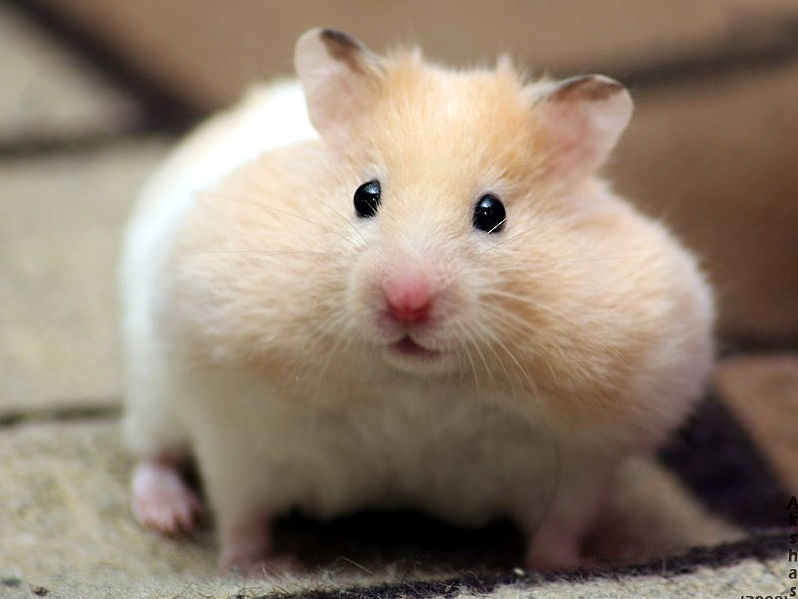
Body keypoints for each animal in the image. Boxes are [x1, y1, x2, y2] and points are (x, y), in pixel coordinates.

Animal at [120, 28, 714, 573]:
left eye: (492, 212)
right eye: (365, 196)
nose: (406, 303)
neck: (417, 387)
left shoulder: (579, 460)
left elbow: (560, 528)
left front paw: (571, 569)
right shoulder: (236, 426)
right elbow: (240, 510)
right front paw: (257, 567)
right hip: (151, 387)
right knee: (152, 453)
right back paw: (168, 518)